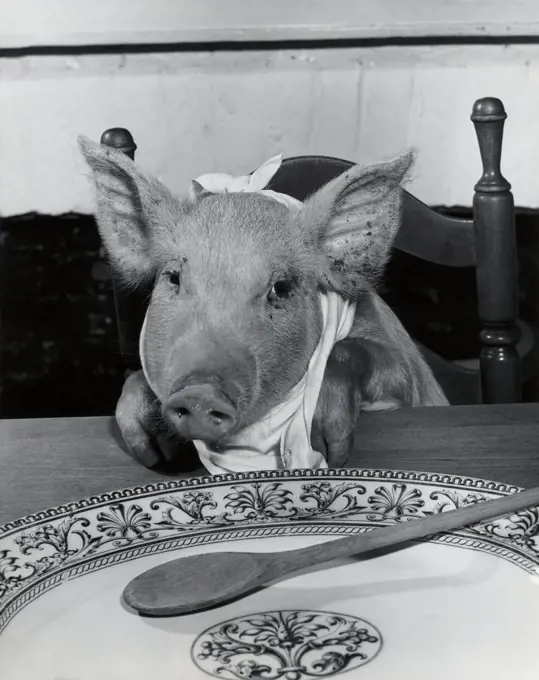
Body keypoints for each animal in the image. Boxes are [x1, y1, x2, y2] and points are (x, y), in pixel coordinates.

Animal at [80, 138, 450, 472]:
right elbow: (134, 380)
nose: (199, 393)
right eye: (173, 278)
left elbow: (363, 355)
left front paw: (328, 447)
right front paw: (152, 453)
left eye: (281, 288)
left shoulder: (407, 374)